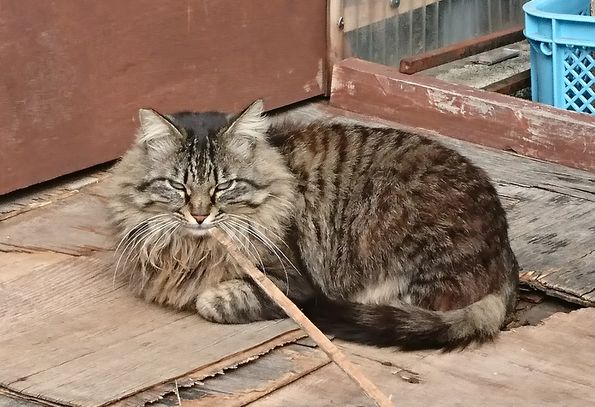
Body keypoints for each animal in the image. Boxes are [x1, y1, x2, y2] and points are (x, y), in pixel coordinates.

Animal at [109, 99, 520, 350]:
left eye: (223, 186)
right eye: (178, 186)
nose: (199, 215)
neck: (191, 250)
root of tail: (506, 252)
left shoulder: (292, 282)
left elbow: (211, 300)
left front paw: (210, 295)